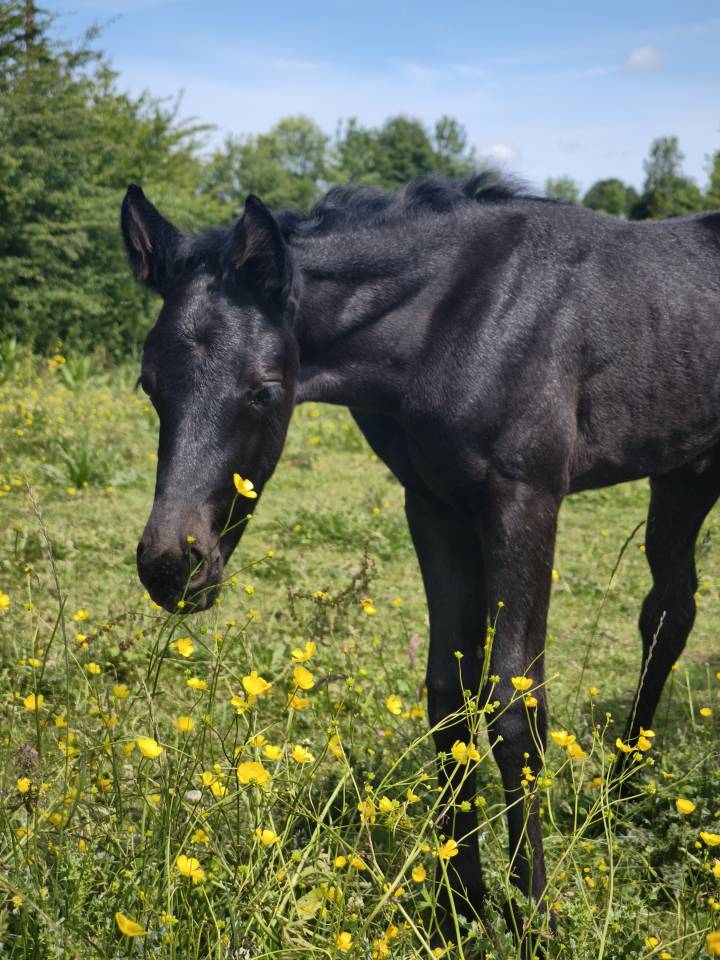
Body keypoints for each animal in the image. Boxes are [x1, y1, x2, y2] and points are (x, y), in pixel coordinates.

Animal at [120, 173, 720, 950]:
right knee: (669, 614)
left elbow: (515, 701)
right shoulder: (433, 503)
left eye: (264, 390)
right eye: (149, 385)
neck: (457, 319)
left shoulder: (525, 496)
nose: (172, 566)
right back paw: (622, 796)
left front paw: (534, 919)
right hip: (687, 470)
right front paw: (456, 911)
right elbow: (447, 695)